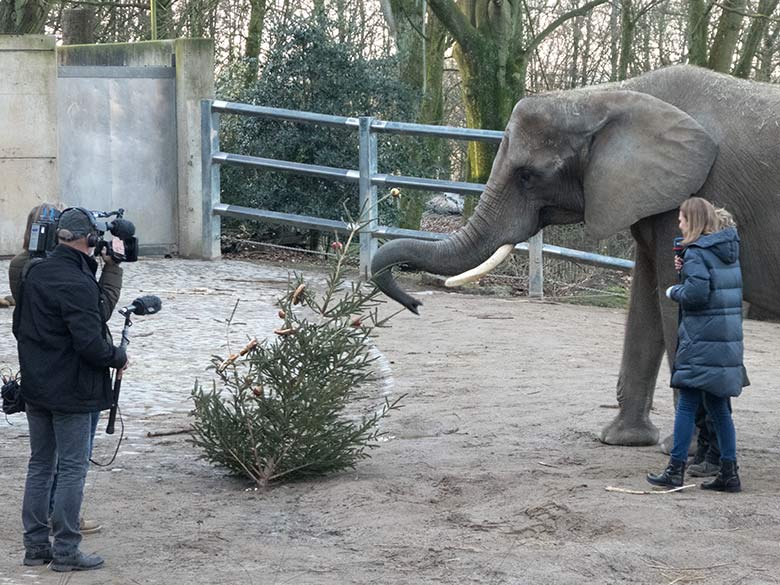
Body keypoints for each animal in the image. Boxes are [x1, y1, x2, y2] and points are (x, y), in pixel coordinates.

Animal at [370, 64, 780, 444]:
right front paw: (621, 440)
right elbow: (646, 301)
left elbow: (677, 304)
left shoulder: (693, 195)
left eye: (527, 176)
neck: (605, 97)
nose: (415, 304)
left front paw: (680, 451)